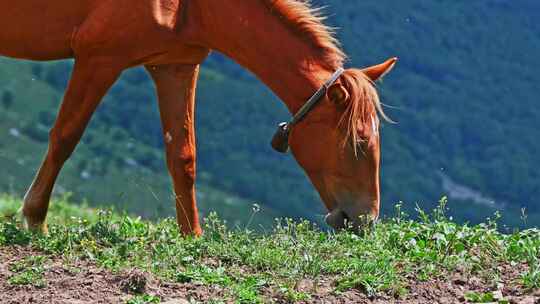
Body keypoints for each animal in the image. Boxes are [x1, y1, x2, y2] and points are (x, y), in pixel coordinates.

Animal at [0, 0, 396, 235]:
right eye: (358, 143)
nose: (365, 219)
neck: (191, 8)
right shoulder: (99, 58)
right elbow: (65, 136)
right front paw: (35, 218)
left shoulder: (175, 66)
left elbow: (183, 158)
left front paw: (191, 236)